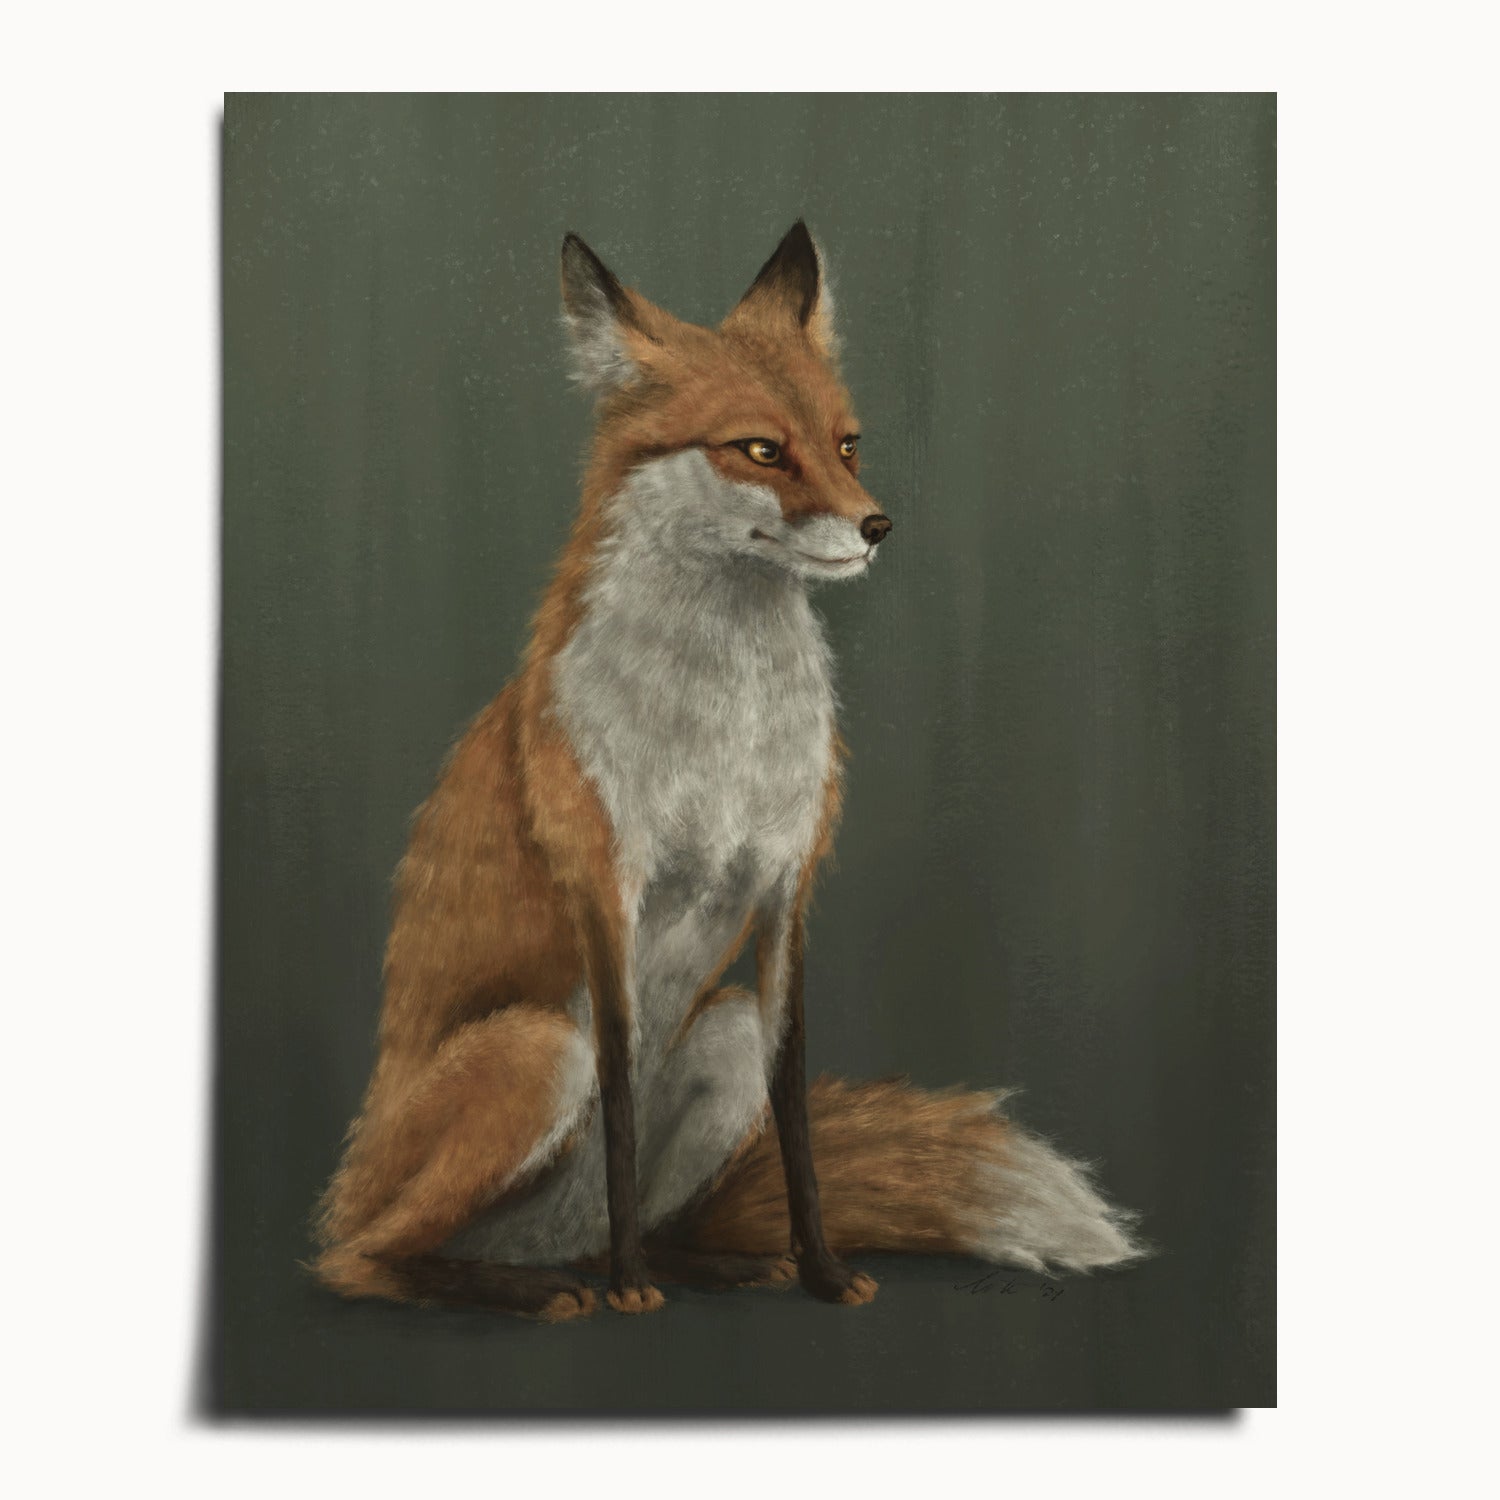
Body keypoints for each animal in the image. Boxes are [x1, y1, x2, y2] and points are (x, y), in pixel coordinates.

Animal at [312, 221, 1145, 1321]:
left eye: (847, 443)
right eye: (760, 449)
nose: (878, 526)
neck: (726, 732)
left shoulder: (787, 888)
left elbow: (794, 1111)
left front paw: (822, 1271)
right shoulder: (606, 890)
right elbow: (621, 1097)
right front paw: (630, 1292)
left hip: (723, 1034)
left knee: (646, 1214)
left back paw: (705, 1263)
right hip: (535, 1051)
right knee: (362, 1259)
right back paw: (541, 1286)